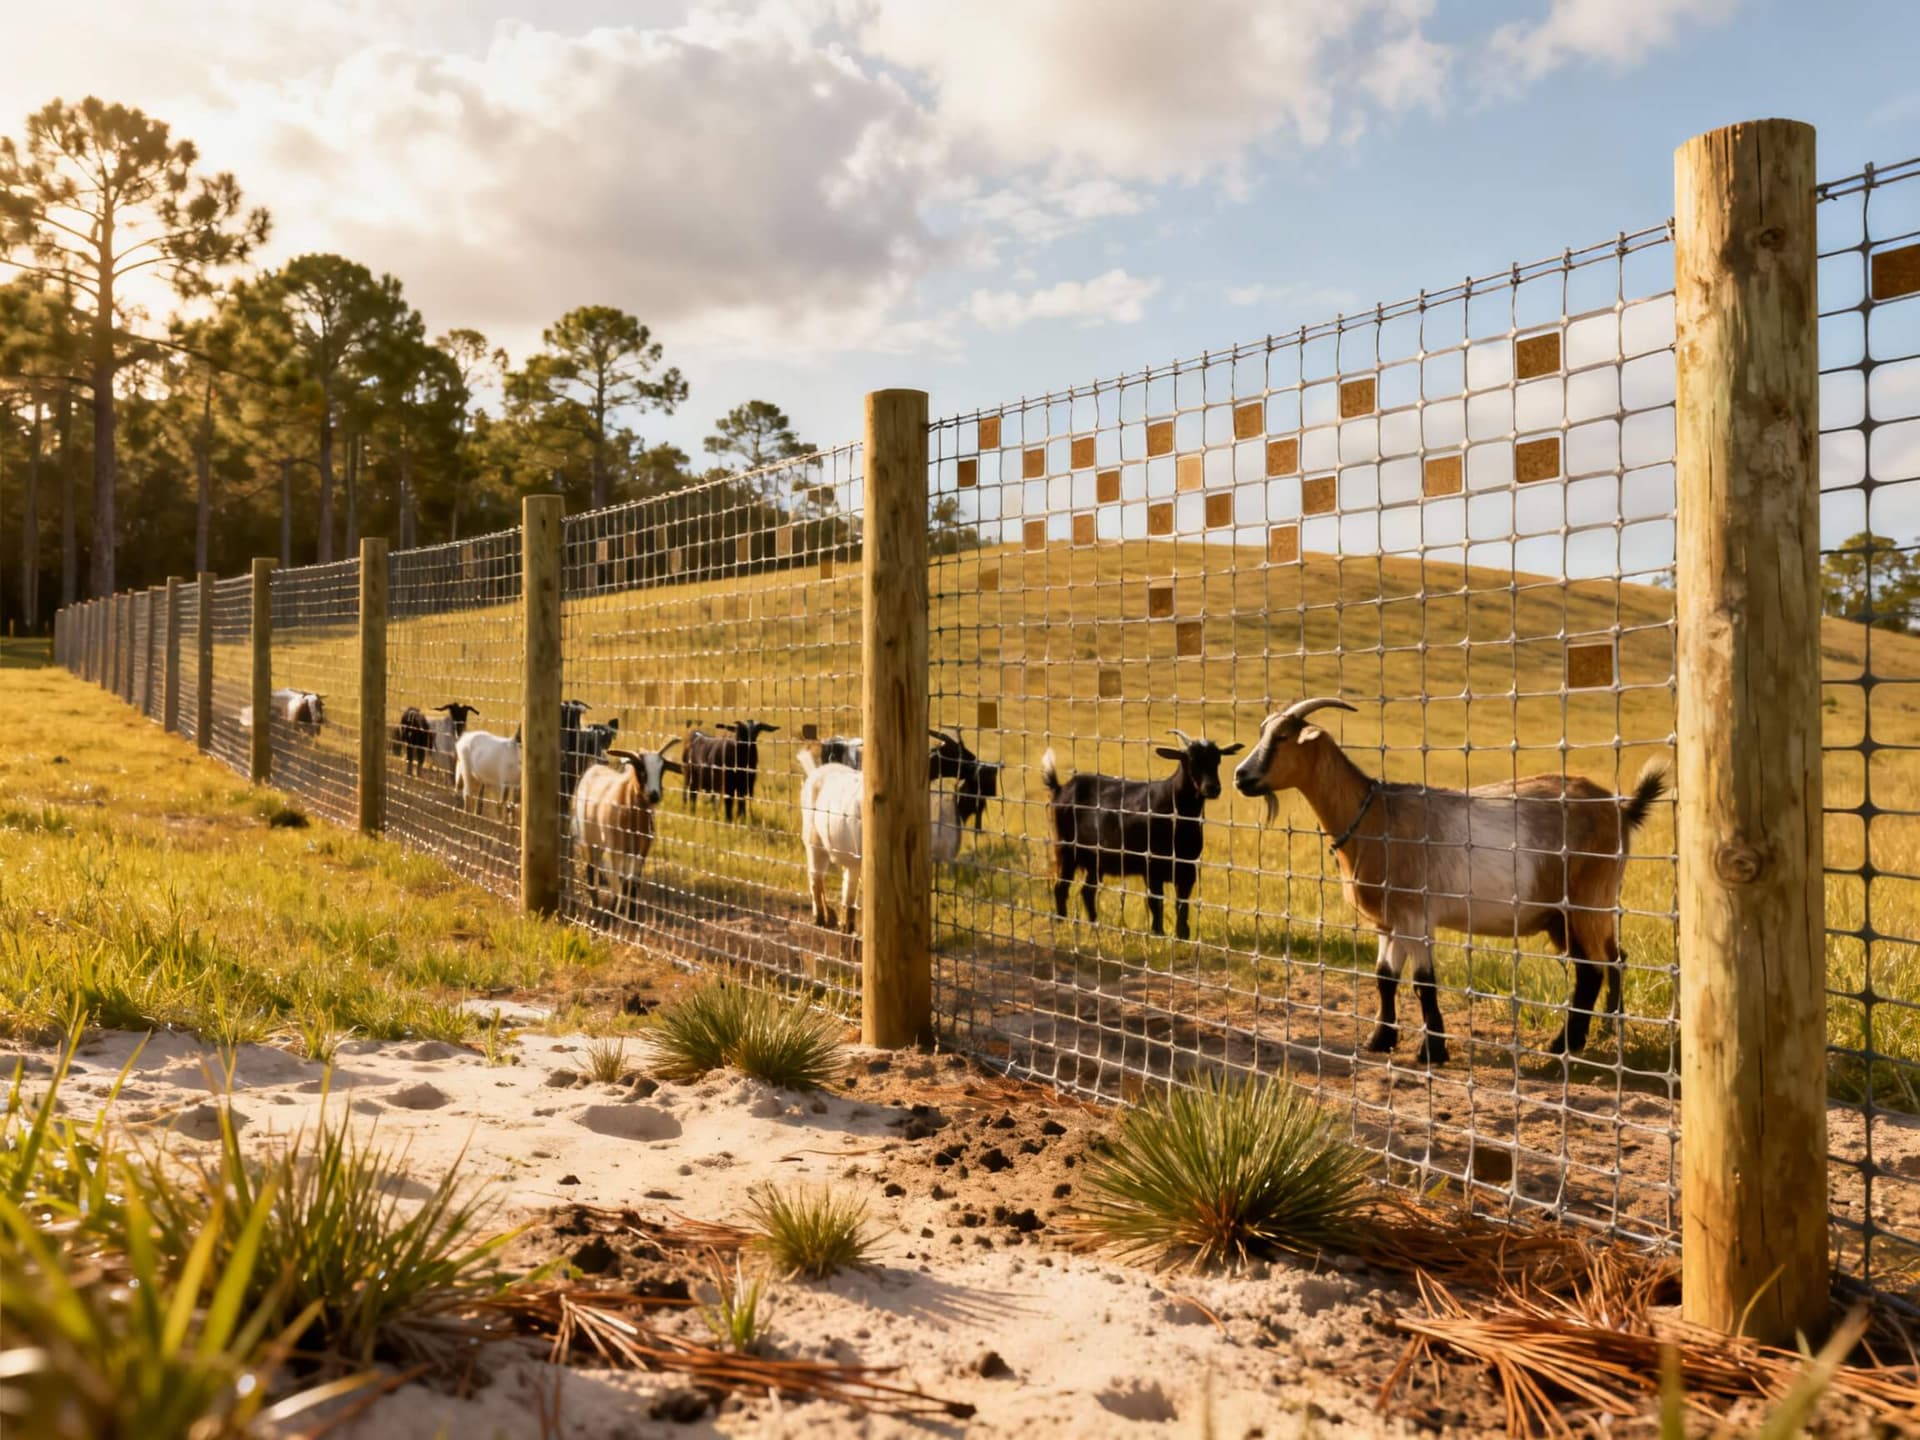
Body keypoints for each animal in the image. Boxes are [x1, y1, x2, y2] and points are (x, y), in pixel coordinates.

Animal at [572, 740, 680, 921]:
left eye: (662, 770)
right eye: (641, 769)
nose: (654, 795)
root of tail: (593, 768)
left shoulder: (641, 850)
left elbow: (633, 881)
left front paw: (631, 916)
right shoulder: (616, 847)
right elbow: (619, 878)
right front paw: (613, 912)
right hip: (589, 836)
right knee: (591, 865)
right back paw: (595, 903)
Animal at [1041, 730, 1241, 941]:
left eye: (1217, 760)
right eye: (1191, 760)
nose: (1213, 788)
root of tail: (1060, 788)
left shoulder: (1187, 868)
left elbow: (1182, 902)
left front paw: (1182, 936)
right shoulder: (1151, 866)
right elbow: (1155, 900)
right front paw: (1158, 933)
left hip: (1096, 860)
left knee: (1087, 891)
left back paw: (1096, 925)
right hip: (1066, 848)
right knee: (1061, 886)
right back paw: (1061, 923)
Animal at [1232, 696, 1671, 1065]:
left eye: (1282, 738)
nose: (1240, 777)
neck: (1375, 818)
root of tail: (1621, 809)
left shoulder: (1416, 915)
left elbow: (1423, 983)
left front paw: (1433, 1051)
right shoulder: (1389, 921)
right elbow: (1384, 978)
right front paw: (1379, 1040)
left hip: (1587, 898)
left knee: (1594, 968)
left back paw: (1564, 1046)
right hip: (1567, 914)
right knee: (1609, 961)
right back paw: (1603, 1033)